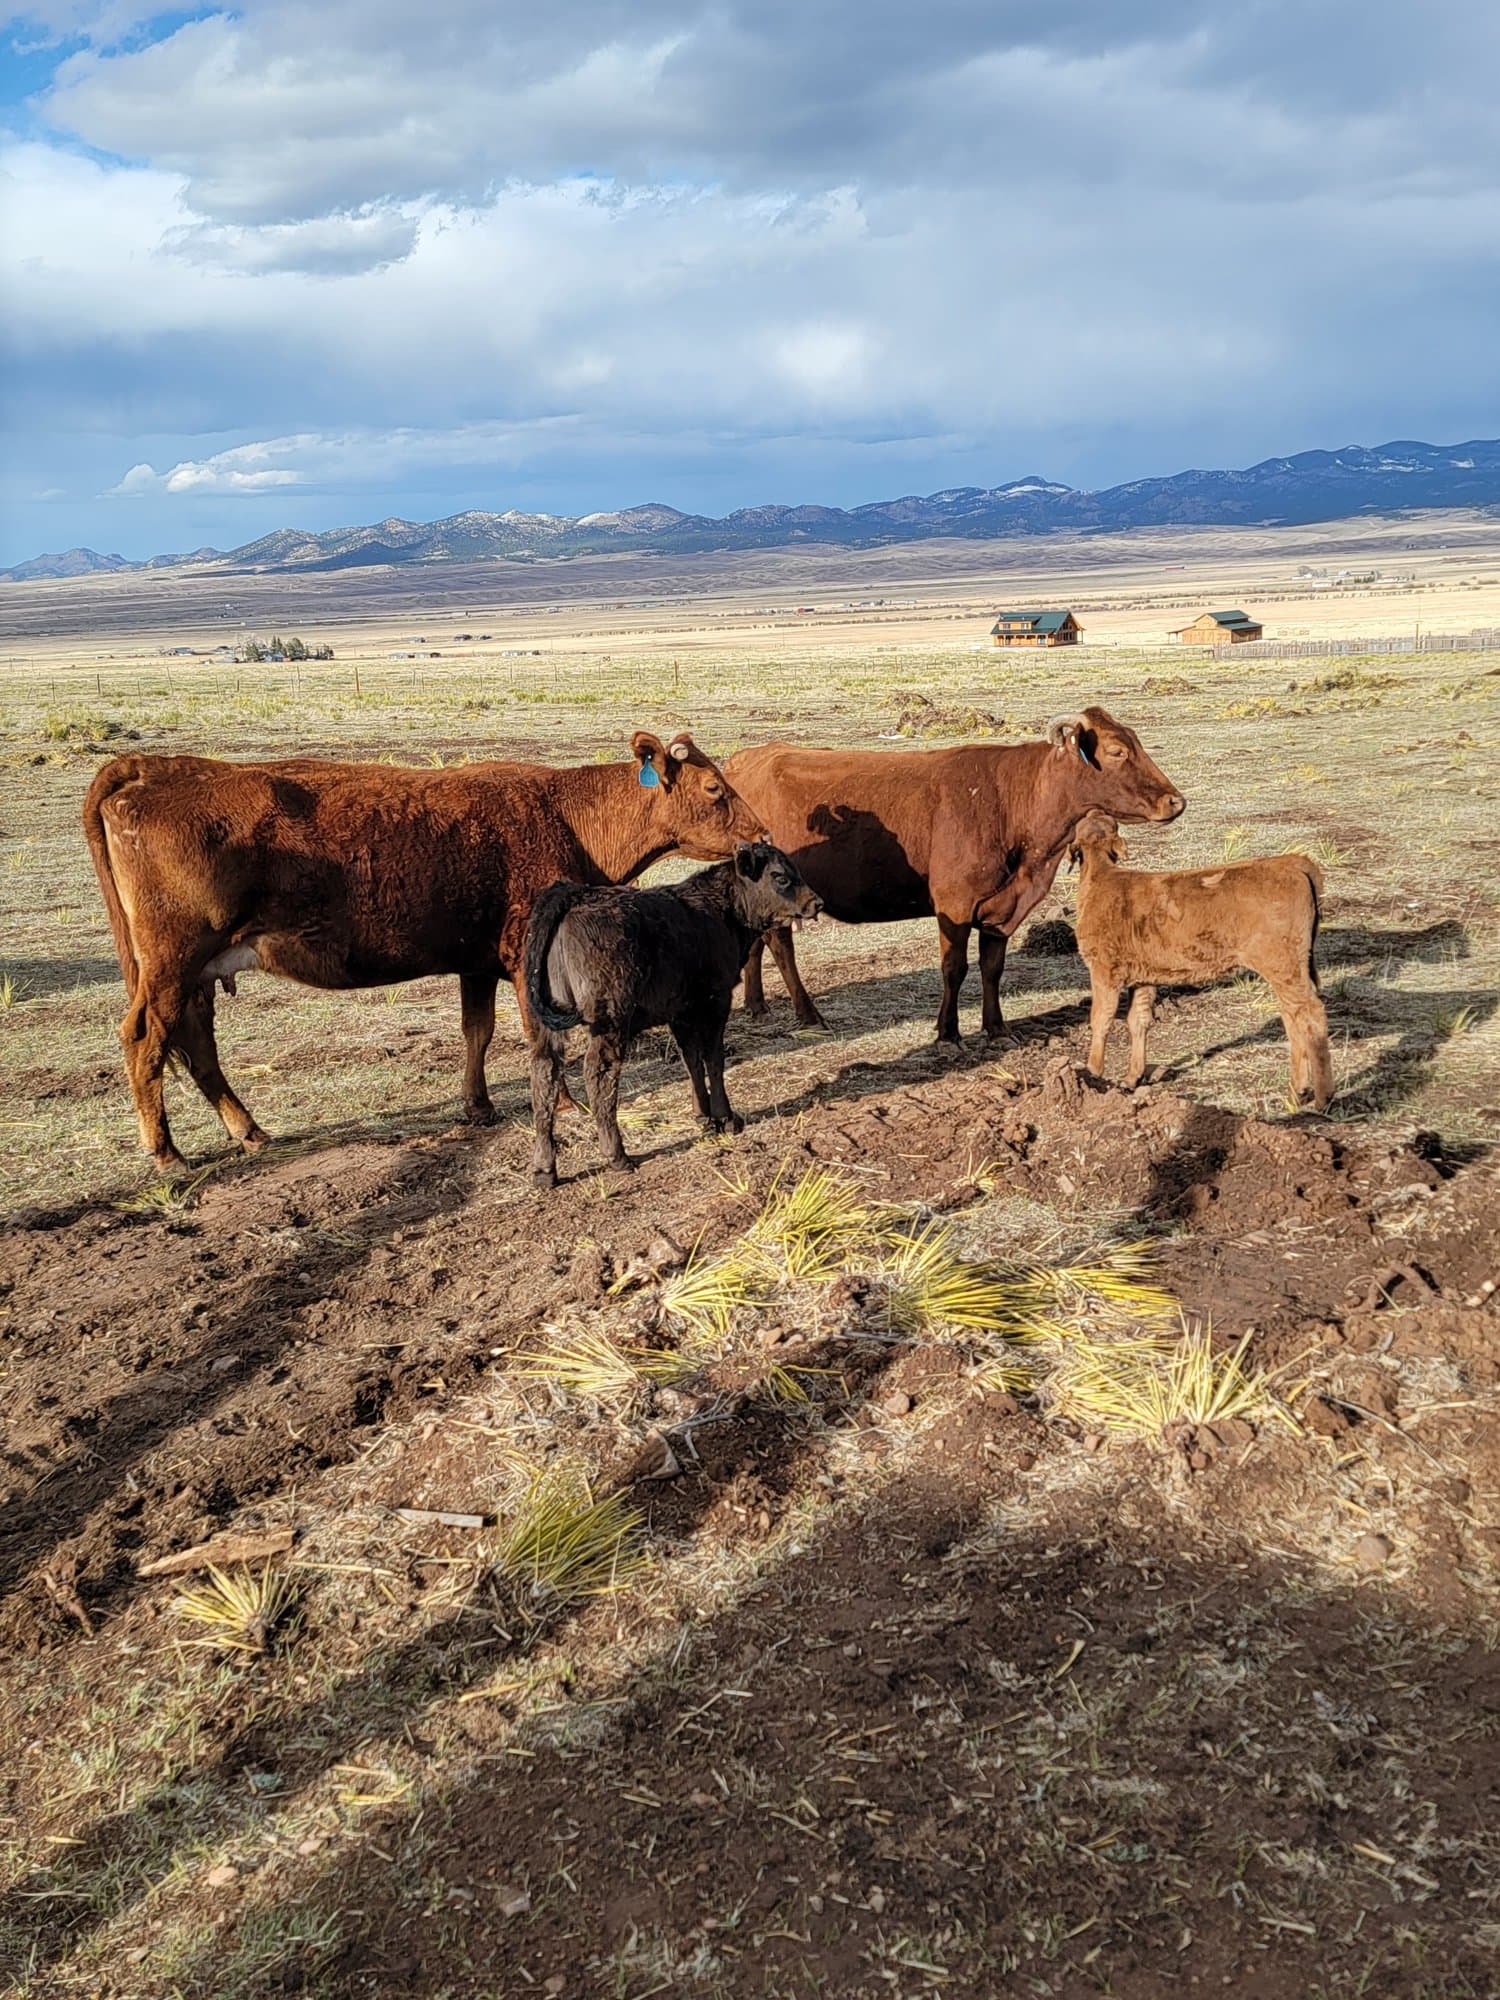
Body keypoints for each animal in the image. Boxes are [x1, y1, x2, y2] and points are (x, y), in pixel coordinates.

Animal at [83, 731, 764, 1170]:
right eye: (714, 788)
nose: (760, 837)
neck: (565, 815)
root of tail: (153, 767)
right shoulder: (526, 957)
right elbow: (539, 1040)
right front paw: (566, 1103)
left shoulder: (477, 962)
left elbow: (477, 1032)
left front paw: (477, 1106)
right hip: (171, 963)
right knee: (144, 1038)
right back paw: (166, 1152)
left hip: (196, 972)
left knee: (197, 1044)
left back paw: (249, 1131)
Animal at [523, 842, 822, 1184]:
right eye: (780, 877)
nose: (817, 903)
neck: (721, 911)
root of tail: (571, 893)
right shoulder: (716, 999)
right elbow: (713, 1058)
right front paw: (726, 1118)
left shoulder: (680, 1011)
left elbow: (690, 1059)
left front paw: (703, 1116)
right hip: (610, 1019)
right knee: (598, 1073)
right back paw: (617, 1155)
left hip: (546, 1024)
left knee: (544, 1073)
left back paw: (545, 1168)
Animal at [724, 708, 1185, 1044]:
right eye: (1117, 751)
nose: (1175, 801)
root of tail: (746, 758)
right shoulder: (955, 904)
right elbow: (954, 968)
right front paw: (947, 1033)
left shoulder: (1002, 909)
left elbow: (992, 968)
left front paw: (997, 1028)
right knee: (781, 946)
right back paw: (809, 1014)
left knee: (756, 942)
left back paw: (757, 1006)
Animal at [1070, 811, 1334, 1109]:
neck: (1101, 878)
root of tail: (1290, 862)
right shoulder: (1143, 977)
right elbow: (1138, 1020)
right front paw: (1131, 1078)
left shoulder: (1104, 969)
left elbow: (1100, 1018)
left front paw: (1091, 1074)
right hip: (1290, 968)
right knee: (1293, 1016)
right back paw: (1297, 1092)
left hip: (1282, 963)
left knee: (1311, 1013)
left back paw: (1322, 1096)